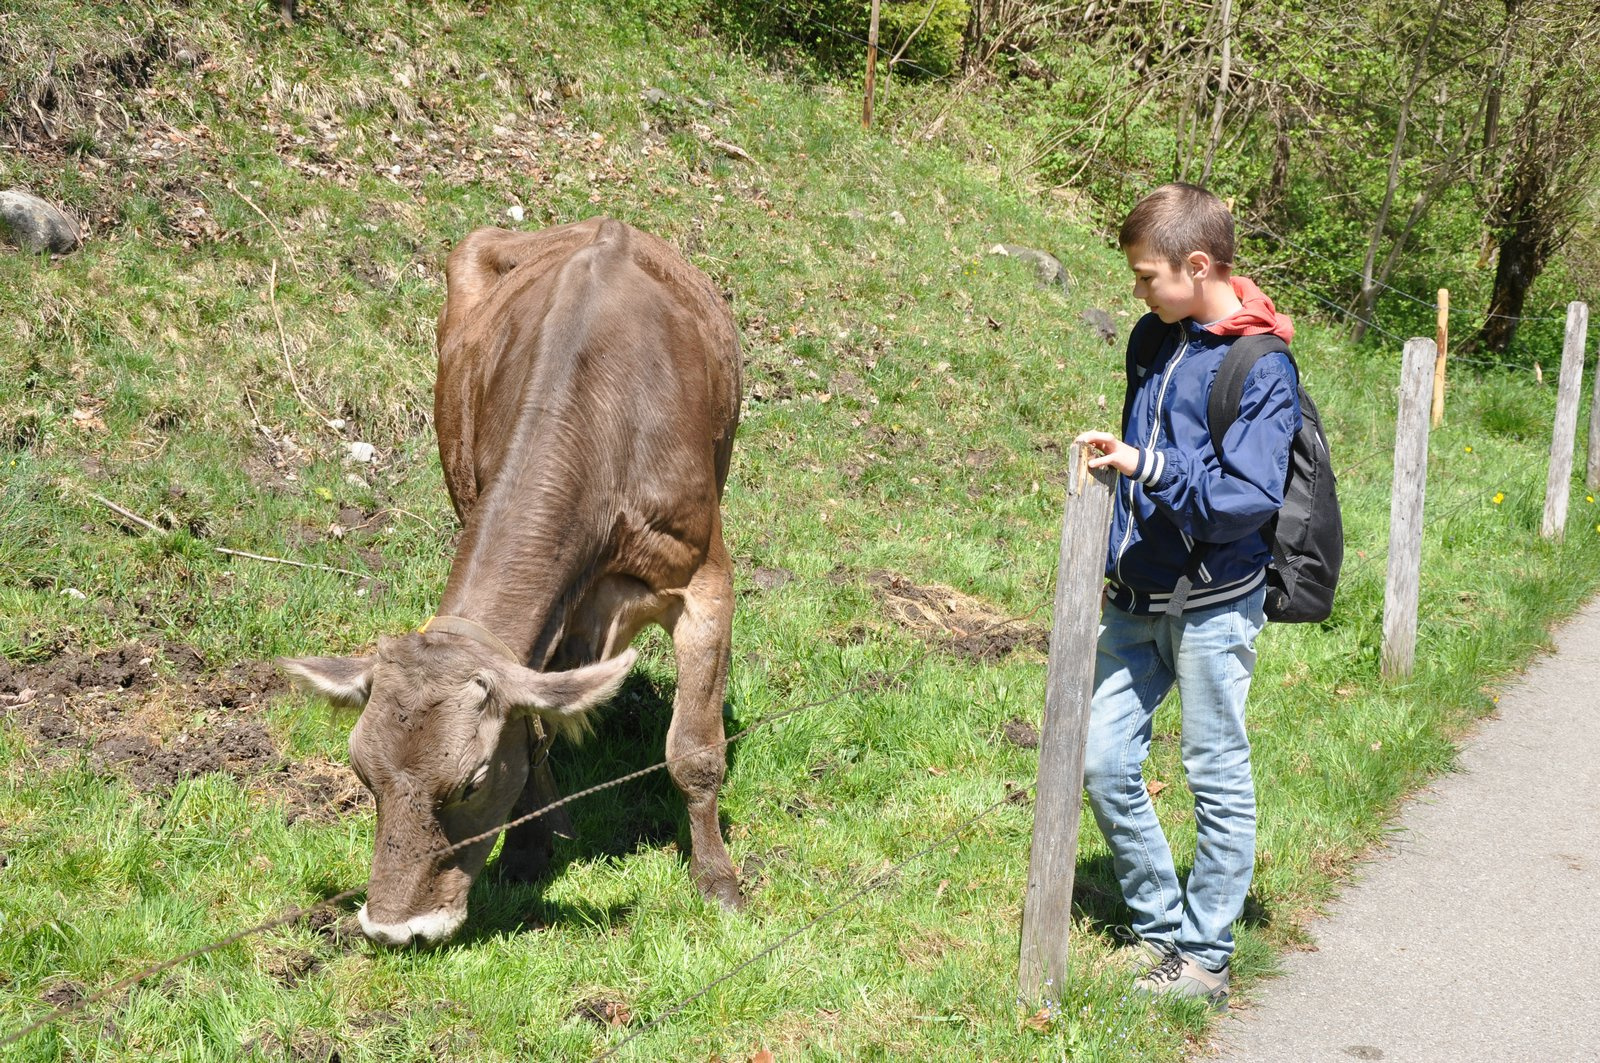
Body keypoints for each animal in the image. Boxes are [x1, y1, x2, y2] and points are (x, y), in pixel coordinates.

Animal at [281, 217, 742, 947]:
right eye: (362, 773)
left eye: (470, 783)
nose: (394, 930)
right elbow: (531, 727)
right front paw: (529, 852)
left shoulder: (705, 580)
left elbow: (694, 751)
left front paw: (718, 883)